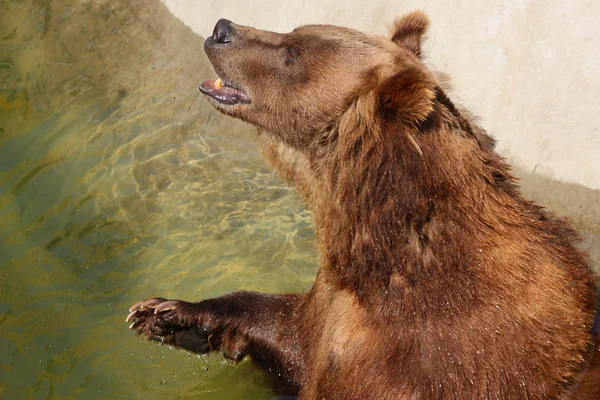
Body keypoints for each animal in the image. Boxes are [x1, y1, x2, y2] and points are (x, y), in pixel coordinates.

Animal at [126, 10, 600, 398]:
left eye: (293, 52)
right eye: (295, 30)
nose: (222, 29)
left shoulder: (435, 356)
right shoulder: (331, 314)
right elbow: (290, 331)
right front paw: (167, 315)